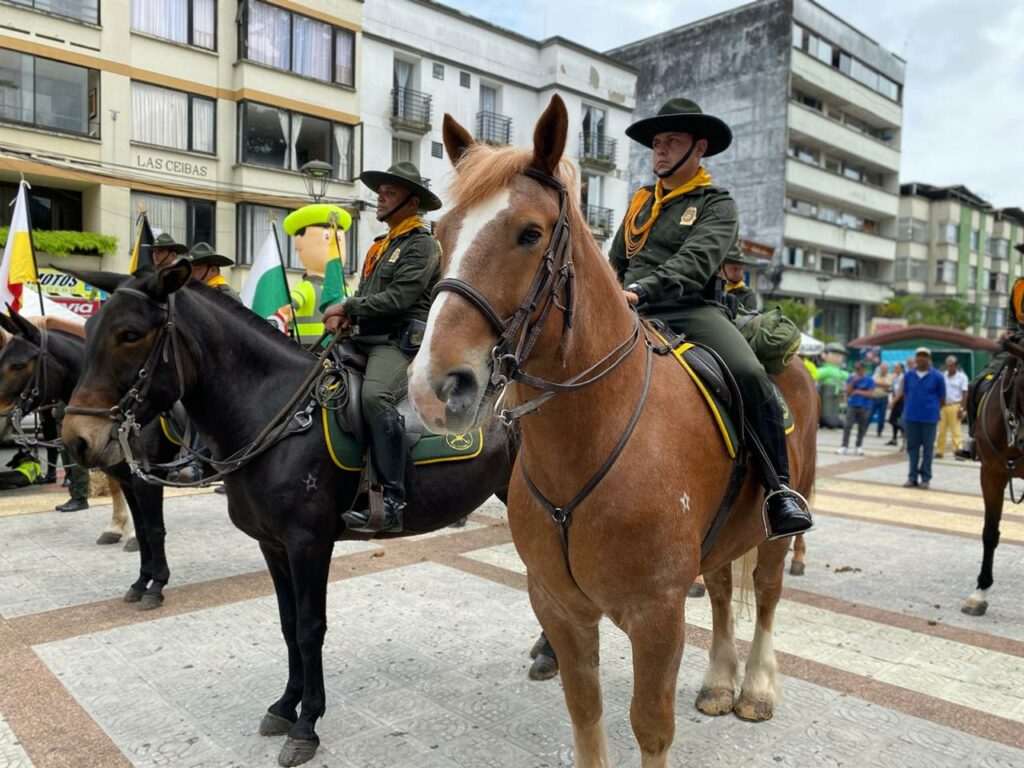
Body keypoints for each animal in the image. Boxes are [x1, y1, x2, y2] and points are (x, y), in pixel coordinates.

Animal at [407, 97, 815, 768]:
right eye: (441, 234)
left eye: (530, 233)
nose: (436, 388)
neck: (592, 435)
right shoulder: (559, 607)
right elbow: (586, 713)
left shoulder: (657, 616)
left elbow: (650, 726)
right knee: (722, 590)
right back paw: (719, 681)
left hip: (778, 529)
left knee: (766, 591)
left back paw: (754, 686)